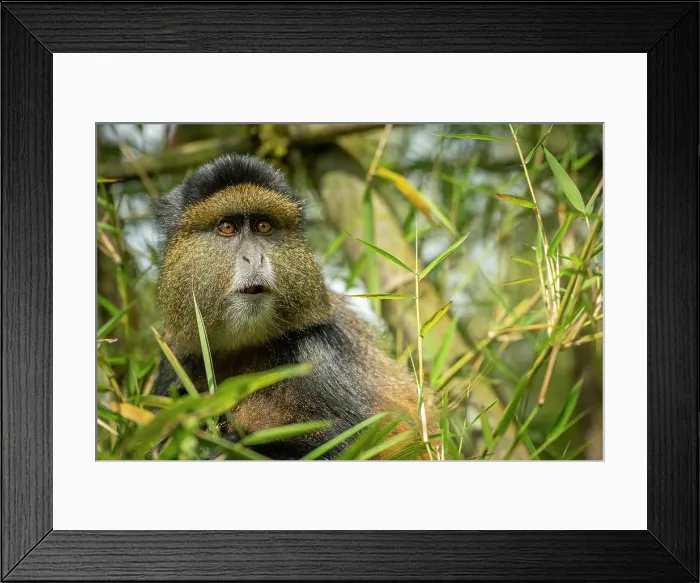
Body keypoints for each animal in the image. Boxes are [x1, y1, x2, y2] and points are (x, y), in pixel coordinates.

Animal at [153, 153, 435, 459]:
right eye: (227, 227)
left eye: (263, 226)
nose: (255, 258)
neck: (244, 348)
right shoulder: (175, 356)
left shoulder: (318, 348)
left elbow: (363, 444)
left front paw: (231, 443)